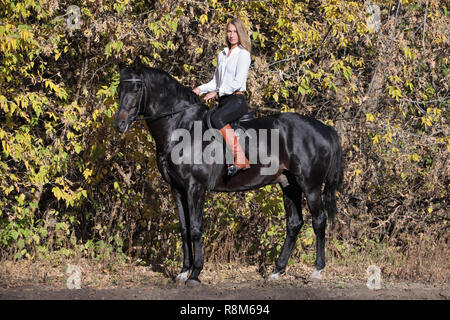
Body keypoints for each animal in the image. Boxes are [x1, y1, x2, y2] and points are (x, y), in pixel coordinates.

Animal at [114, 59, 342, 284]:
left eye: (136, 88)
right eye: (119, 89)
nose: (119, 124)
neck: (182, 129)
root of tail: (324, 129)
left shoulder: (195, 188)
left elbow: (195, 229)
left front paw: (195, 274)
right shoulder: (177, 189)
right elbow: (184, 229)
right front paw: (183, 272)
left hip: (310, 186)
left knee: (319, 221)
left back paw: (316, 270)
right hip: (289, 184)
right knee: (294, 224)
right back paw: (276, 271)